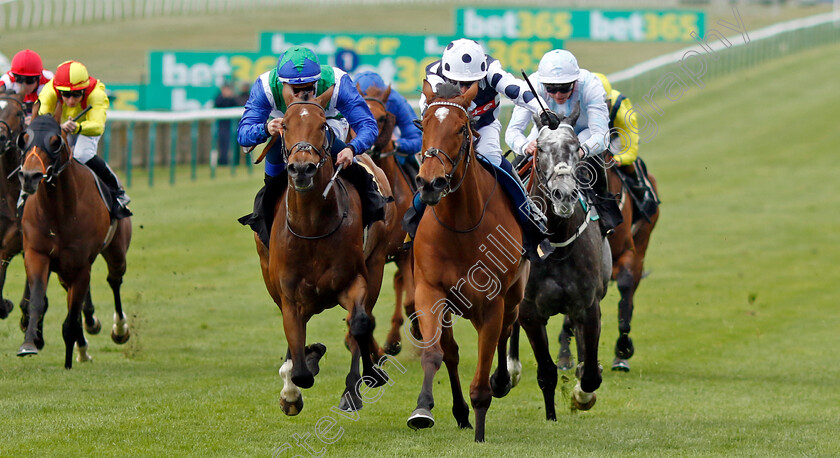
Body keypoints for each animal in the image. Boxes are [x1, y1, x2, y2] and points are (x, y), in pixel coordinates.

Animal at [16, 114, 130, 368]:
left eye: (55, 141)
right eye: (23, 138)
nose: (29, 177)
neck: (59, 211)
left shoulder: (81, 265)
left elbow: (71, 315)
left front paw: (68, 363)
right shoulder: (36, 254)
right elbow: (37, 300)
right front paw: (28, 343)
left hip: (116, 251)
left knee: (114, 280)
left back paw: (119, 330)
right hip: (63, 270)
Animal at [256, 84, 398, 416]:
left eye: (323, 126)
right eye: (284, 126)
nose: (302, 168)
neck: (312, 227)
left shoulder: (354, 280)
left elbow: (360, 323)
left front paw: (364, 378)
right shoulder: (289, 294)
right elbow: (299, 365)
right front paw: (293, 387)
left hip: (376, 264)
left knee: (361, 322)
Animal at [406, 80, 528, 442]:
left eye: (462, 128)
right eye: (423, 125)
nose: (430, 182)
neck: (461, 226)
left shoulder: (490, 303)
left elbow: (484, 369)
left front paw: (481, 430)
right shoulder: (429, 292)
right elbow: (435, 352)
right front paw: (422, 409)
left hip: (513, 296)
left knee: (506, 330)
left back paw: (500, 381)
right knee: (451, 351)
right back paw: (460, 413)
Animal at [506, 106, 612, 418]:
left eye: (575, 147)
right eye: (541, 149)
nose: (563, 194)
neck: (556, 244)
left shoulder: (587, 306)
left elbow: (590, 374)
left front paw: (581, 395)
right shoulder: (530, 311)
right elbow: (546, 372)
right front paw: (551, 417)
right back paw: (506, 374)